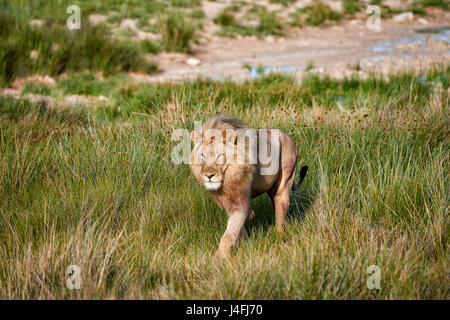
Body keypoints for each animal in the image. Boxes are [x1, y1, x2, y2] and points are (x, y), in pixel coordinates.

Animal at [188, 116, 308, 258]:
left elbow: (229, 233)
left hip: (284, 181)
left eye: (219, 156)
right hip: (271, 191)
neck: (227, 179)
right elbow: (238, 228)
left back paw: (279, 236)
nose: (209, 175)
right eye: (202, 156)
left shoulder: (240, 203)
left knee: (280, 211)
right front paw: (245, 243)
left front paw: (220, 257)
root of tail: (289, 136)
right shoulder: (227, 203)